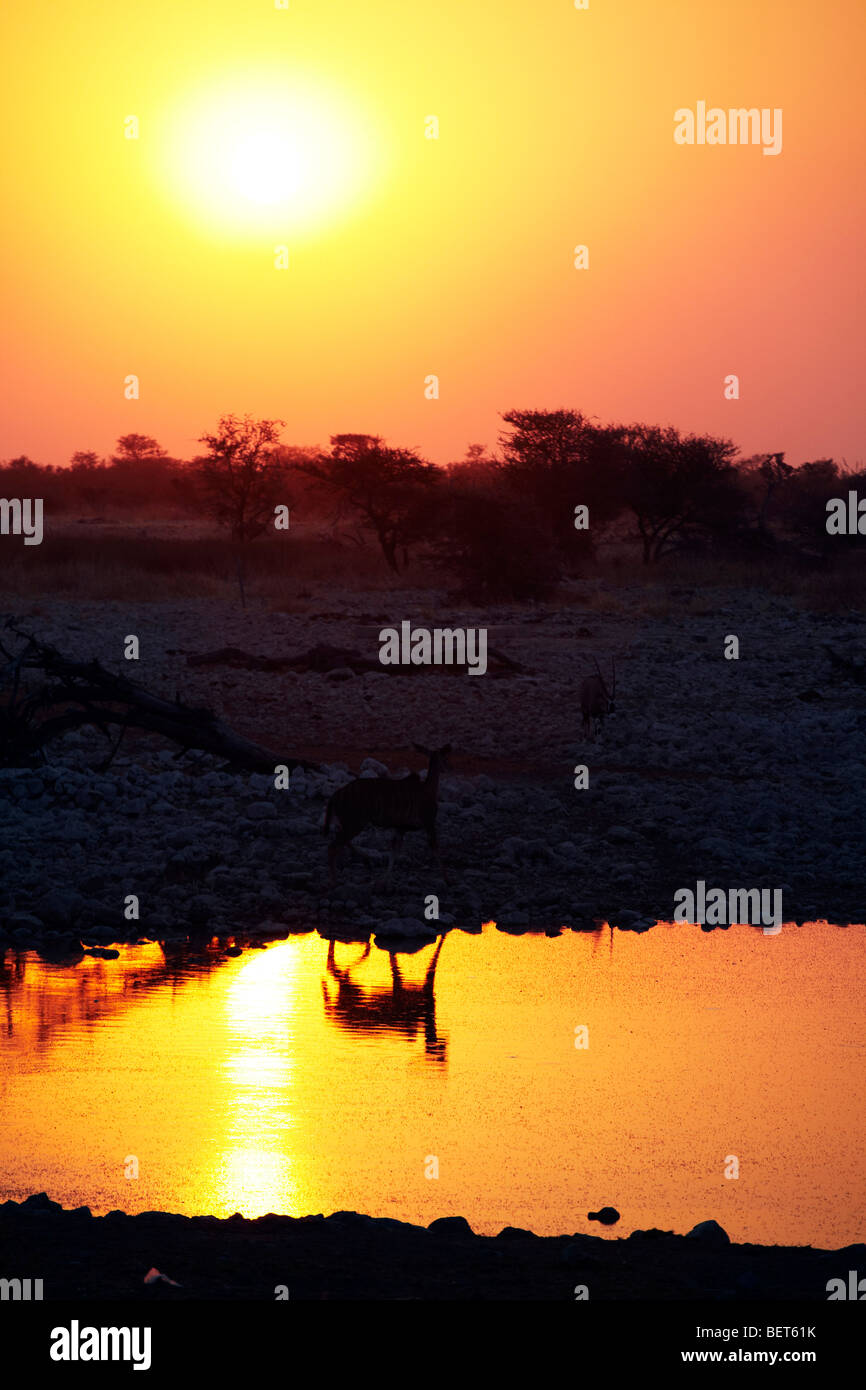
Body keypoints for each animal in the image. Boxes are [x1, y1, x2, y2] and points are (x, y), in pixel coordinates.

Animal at [322, 745, 450, 884]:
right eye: (444, 758)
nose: (448, 768)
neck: (428, 789)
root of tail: (335, 796)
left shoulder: (401, 828)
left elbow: (394, 850)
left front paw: (384, 880)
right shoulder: (428, 822)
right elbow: (435, 847)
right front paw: (447, 879)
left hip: (349, 823)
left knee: (342, 841)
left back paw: (366, 860)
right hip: (355, 823)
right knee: (333, 847)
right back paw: (334, 881)